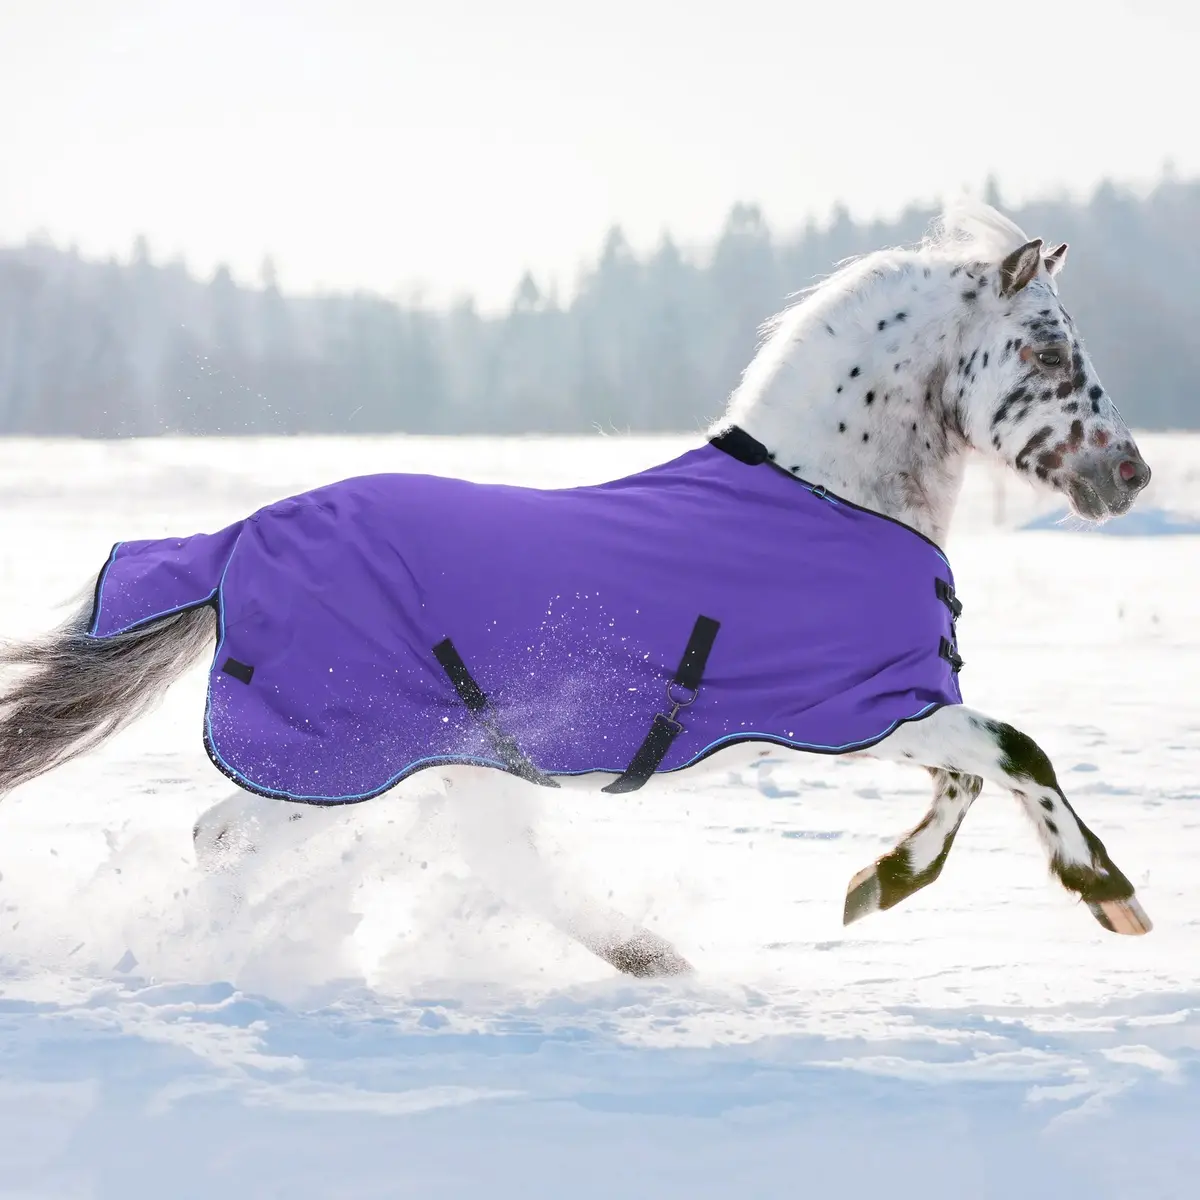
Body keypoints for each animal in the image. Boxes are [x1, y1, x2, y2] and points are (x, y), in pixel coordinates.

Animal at [0, 202, 1154, 979]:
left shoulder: (881, 713)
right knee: (234, 842)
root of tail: (239, 540)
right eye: (1046, 349)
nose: (1131, 475)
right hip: (348, 760)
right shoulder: (859, 709)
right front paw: (1109, 896)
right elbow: (1018, 753)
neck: (829, 497)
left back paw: (652, 962)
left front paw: (877, 885)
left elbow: (972, 777)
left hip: (428, 760)